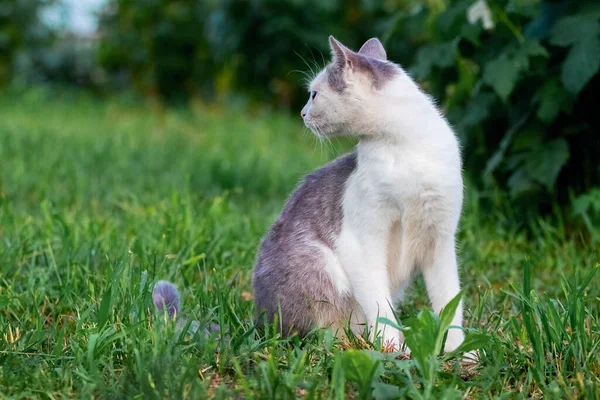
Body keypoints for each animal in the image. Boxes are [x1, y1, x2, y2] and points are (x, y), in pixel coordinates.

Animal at [154, 34, 464, 354]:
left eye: (314, 95)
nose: (302, 112)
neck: (407, 153)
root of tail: (260, 326)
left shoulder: (440, 240)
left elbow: (450, 302)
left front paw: (461, 353)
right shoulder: (362, 242)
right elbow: (381, 306)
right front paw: (393, 349)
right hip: (318, 267)